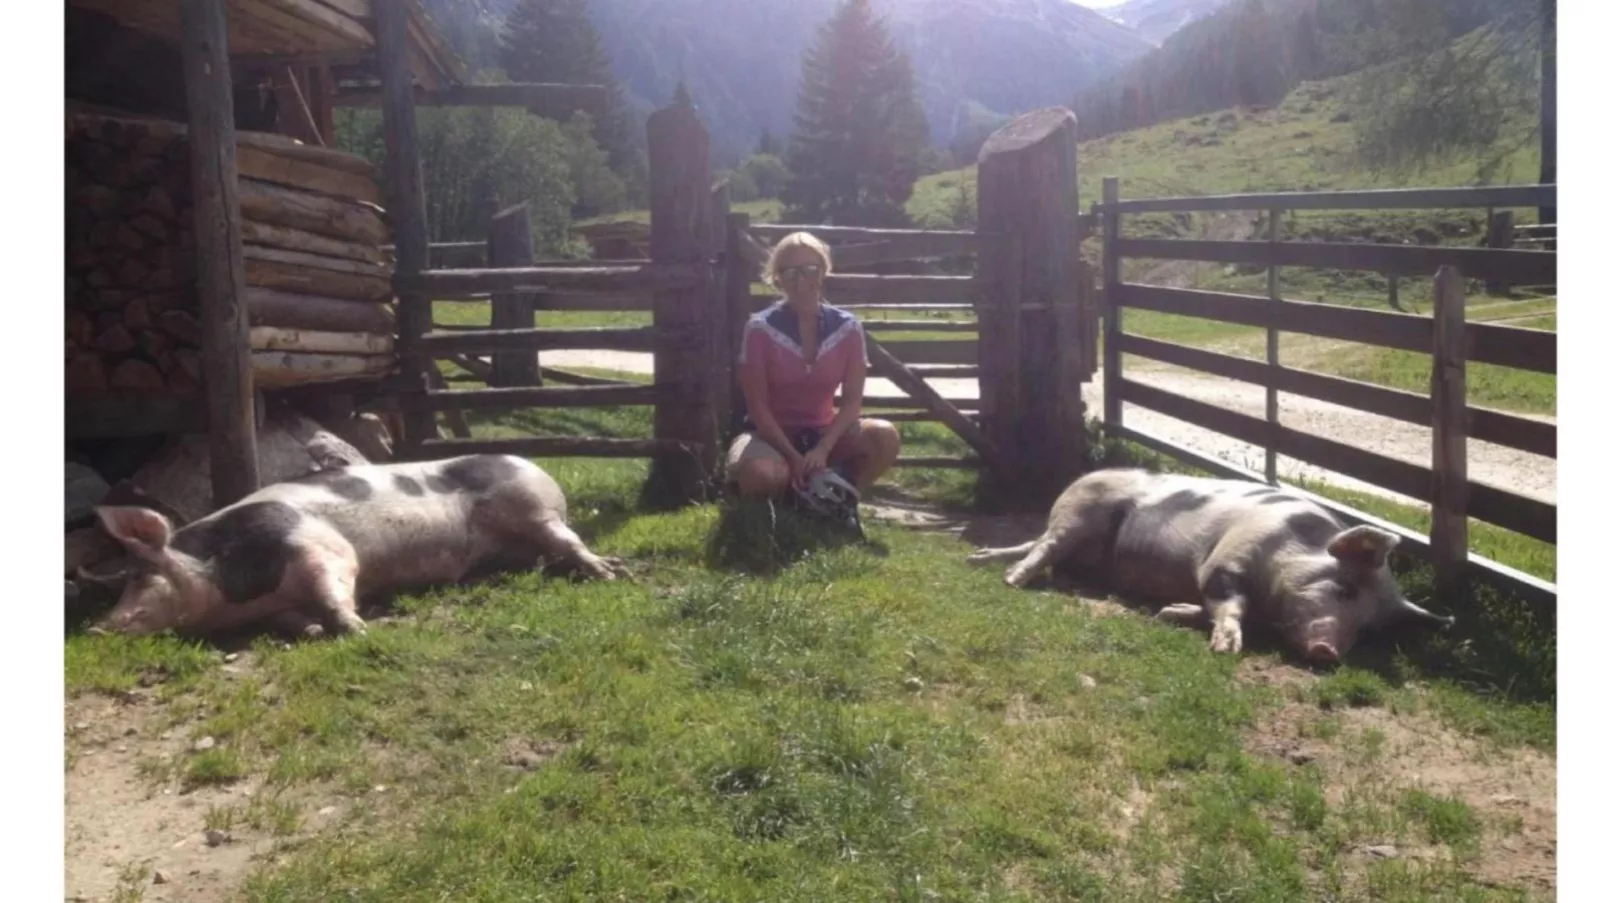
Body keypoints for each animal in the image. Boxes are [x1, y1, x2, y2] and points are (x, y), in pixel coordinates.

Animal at [84, 453, 626, 636]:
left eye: (138, 574)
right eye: (123, 578)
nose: (97, 628)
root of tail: (534, 465)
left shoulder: (321, 549)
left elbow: (335, 590)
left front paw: (357, 630)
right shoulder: (274, 603)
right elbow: (293, 619)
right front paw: (311, 632)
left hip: (535, 509)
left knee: (570, 542)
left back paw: (611, 572)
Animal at [963, 465, 1458, 665]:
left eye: (1369, 628)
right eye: (1345, 589)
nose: (1329, 653)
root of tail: (1083, 478)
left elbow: (1209, 609)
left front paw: (1169, 614)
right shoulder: (1226, 562)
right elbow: (1227, 605)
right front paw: (1226, 648)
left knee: (1032, 544)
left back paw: (980, 560)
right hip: (1076, 515)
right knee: (1042, 546)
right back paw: (1012, 580)